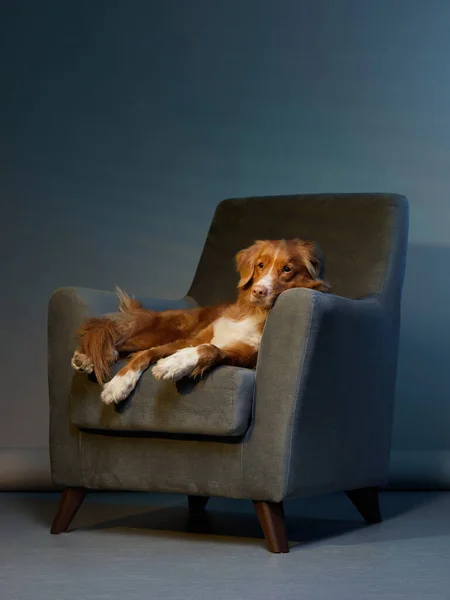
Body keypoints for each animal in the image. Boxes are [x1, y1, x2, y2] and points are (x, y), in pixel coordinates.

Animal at [72, 238, 328, 404]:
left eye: (287, 269)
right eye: (261, 265)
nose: (258, 291)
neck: (252, 312)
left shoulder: (244, 357)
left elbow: (209, 349)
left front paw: (174, 364)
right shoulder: (189, 339)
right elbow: (146, 355)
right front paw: (119, 384)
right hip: (163, 332)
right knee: (120, 344)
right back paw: (86, 357)